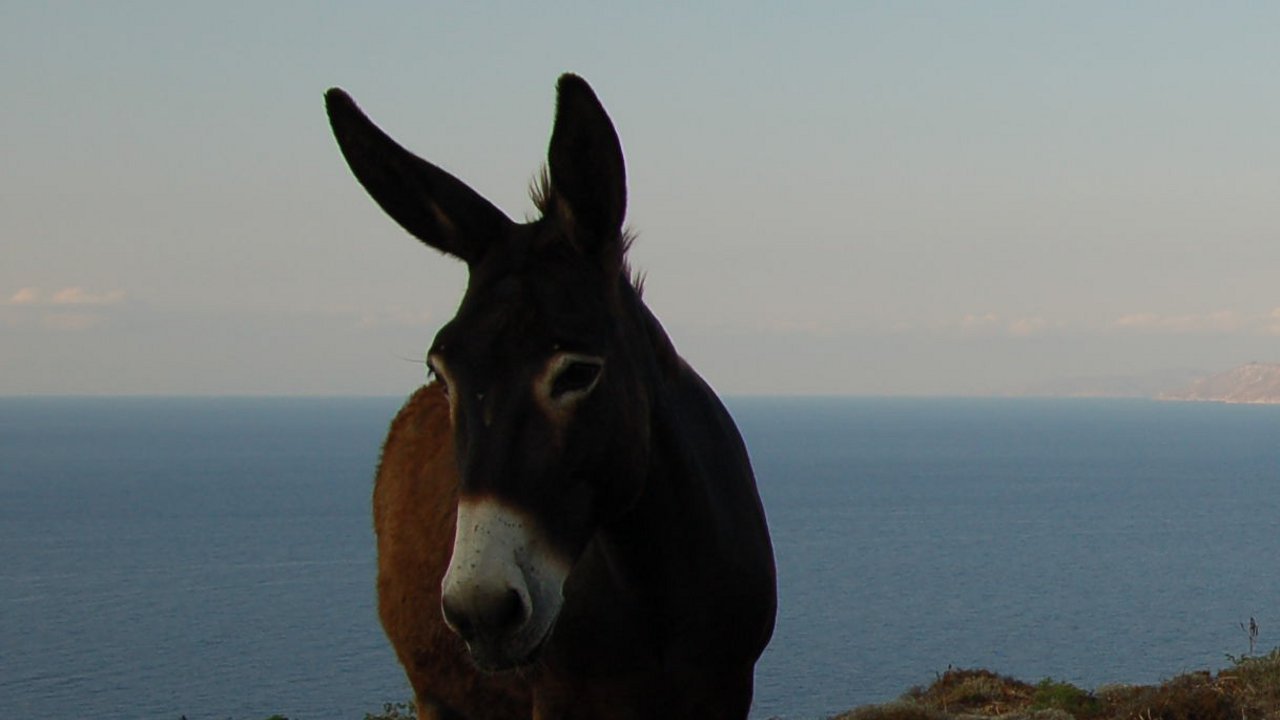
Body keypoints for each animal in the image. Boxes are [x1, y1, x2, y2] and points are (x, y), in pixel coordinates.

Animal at [326, 74, 777, 720]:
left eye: (578, 373)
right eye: (443, 373)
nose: (482, 611)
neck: (658, 587)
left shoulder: (727, 689)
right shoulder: (560, 699)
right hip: (438, 694)